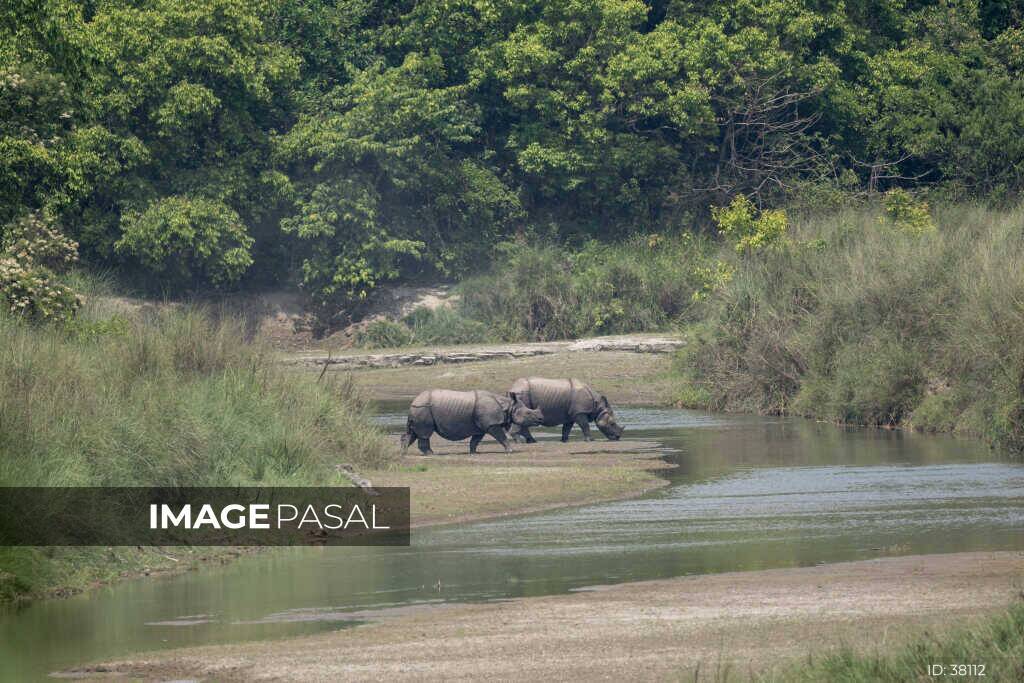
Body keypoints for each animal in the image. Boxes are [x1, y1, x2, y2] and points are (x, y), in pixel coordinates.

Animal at [399, 389, 544, 454]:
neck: (508, 406)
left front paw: (474, 452)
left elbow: (475, 440)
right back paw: (431, 453)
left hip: (419, 408)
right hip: (423, 408)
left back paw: (403, 453)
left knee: (413, 433)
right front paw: (510, 450)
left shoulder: (481, 427)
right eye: (528, 413)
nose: (541, 418)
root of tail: (413, 402)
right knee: (425, 433)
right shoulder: (492, 424)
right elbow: (501, 437)